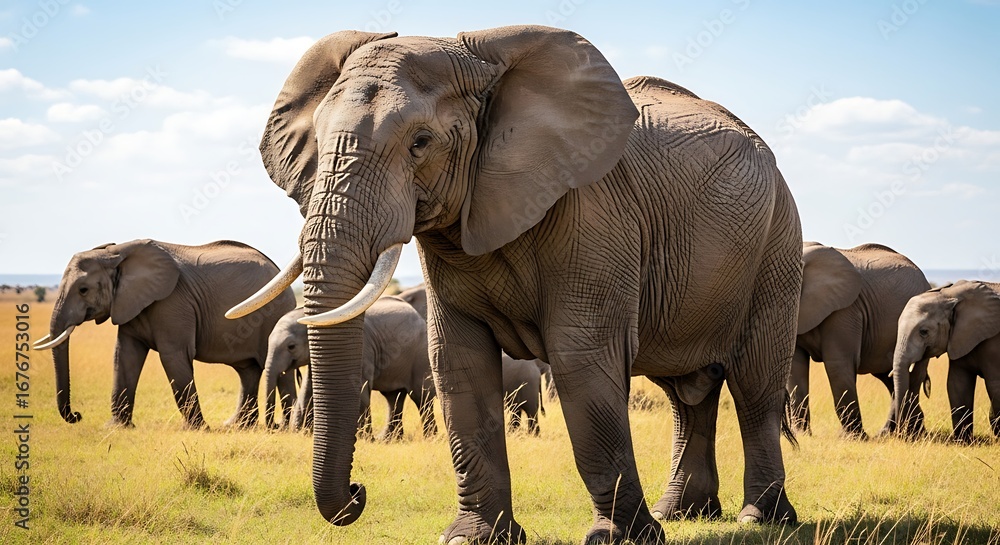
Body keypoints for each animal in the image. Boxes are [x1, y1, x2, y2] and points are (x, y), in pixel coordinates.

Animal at [33, 239, 296, 429]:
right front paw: (116, 428)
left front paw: (197, 430)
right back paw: (237, 426)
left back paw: (285, 428)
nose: (77, 415)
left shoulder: (172, 303)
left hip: (273, 313)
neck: (116, 253)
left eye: (83, 290)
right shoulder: (130, 303)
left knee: (278, 370)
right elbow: (125, 356)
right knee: (247, 371)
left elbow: (173, 356)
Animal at [262, 298, 438, 439]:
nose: (277, 425)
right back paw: (389, 439)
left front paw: (363, 439)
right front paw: (302, 432)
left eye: (291, 346)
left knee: (421, 397)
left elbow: (359, 388)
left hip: (421, 355)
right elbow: (310, 388)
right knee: (393, 397)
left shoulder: (360, 348)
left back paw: (429, 438)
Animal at [787, 242, 930, 438]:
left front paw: (850, 438)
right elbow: (796, 367)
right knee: (890, 377)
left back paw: (908, 435)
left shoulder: (846, 310)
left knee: (912, 376)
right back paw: (897, 433)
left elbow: (838, 364)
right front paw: (802, 436)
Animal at [891, 280, 1000, 441]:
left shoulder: (994, 342)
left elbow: (995, 385)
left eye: (924, 332)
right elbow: (957, 384)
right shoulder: (958, 338)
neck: (949, 295)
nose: (900, 434)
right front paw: (963, 442)